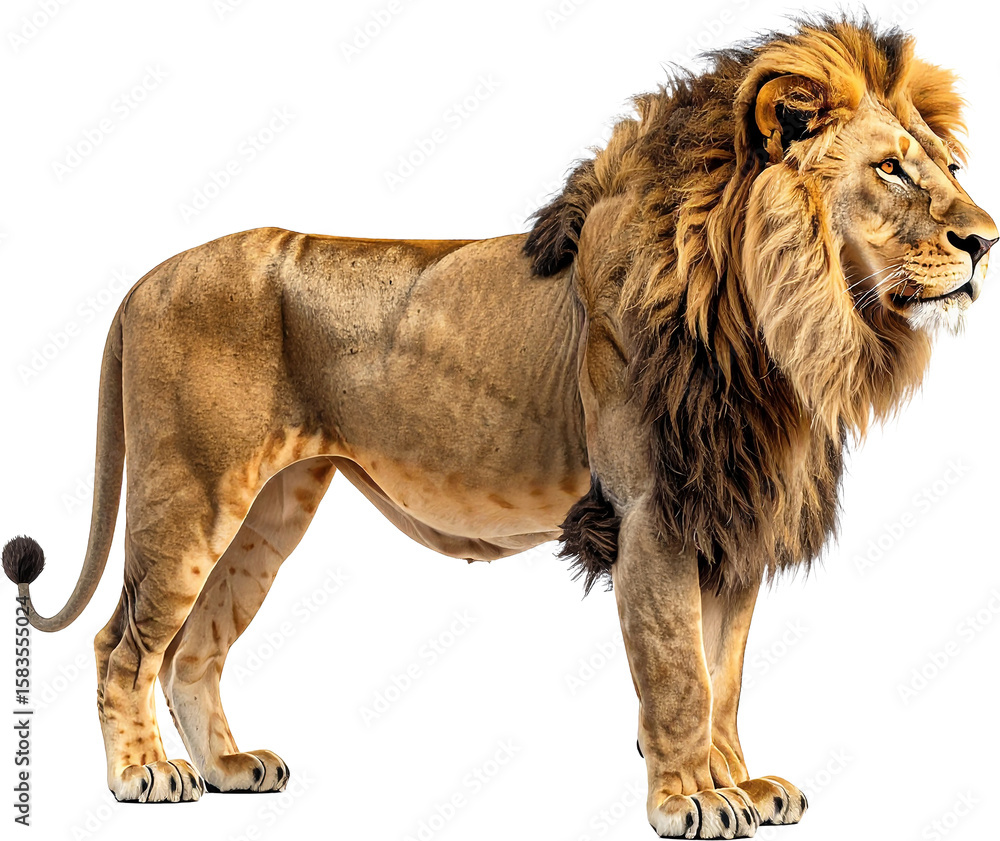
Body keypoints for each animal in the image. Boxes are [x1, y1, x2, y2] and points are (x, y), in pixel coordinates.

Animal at [3, 15, 996, 839]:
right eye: (892, 167)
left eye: (949, 167)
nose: (985, 239)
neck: (776, 325)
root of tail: (143, 279)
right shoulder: (652, 514)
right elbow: (679, 674)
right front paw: (692, 801)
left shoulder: (730, 515)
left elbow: (726, 678)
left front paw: (737, 783)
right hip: (189, 493)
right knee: (125, 643)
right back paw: (144, 776)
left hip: (268, 511)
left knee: (194, 647)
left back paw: (227, 767)